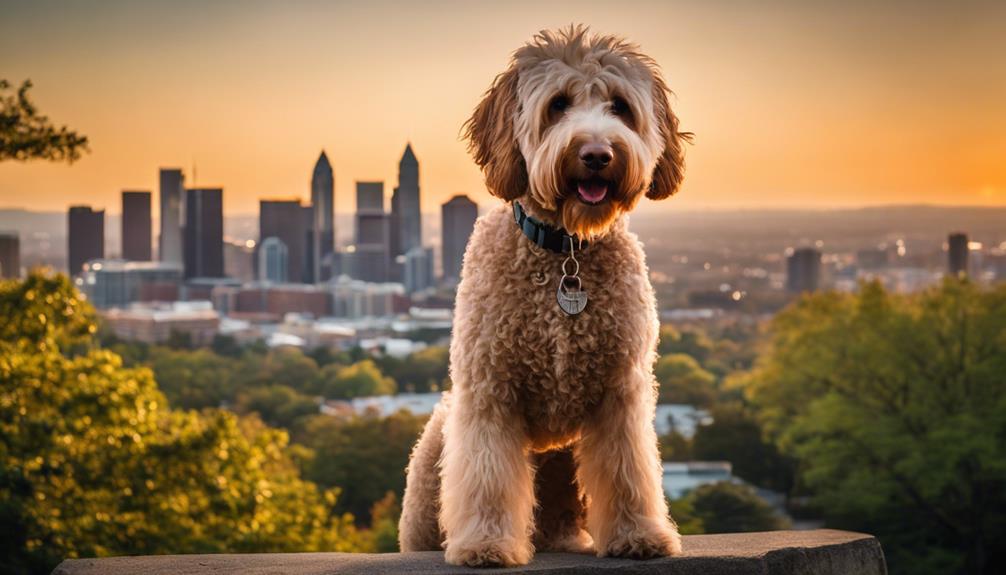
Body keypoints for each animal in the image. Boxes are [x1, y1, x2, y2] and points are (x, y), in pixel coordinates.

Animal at [396, 25, 688, 566]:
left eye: (620, 106)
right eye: (558, 104)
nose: (597, 154)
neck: (564, 252)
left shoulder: (620, 394)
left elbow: (628, 471)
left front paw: (637, 535)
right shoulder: (491, 389)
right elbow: (487, 476)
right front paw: (486, 544)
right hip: (433, 465)